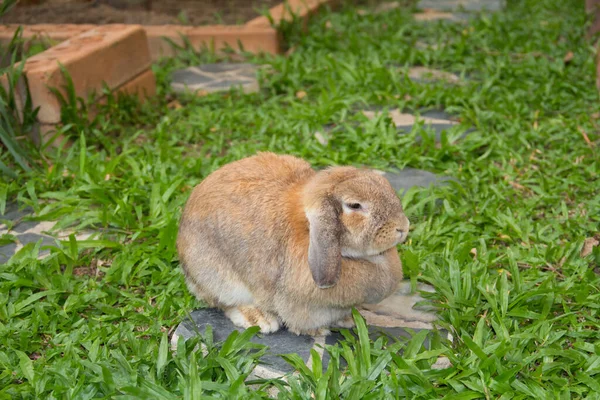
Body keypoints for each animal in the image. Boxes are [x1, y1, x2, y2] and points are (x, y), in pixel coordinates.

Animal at [178, 152, 410, 336]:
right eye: (354, 205)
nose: (403, 227)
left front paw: (348, 320)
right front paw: (317, 331)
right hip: (220, 279)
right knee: (225, 302)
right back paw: (260, 319)